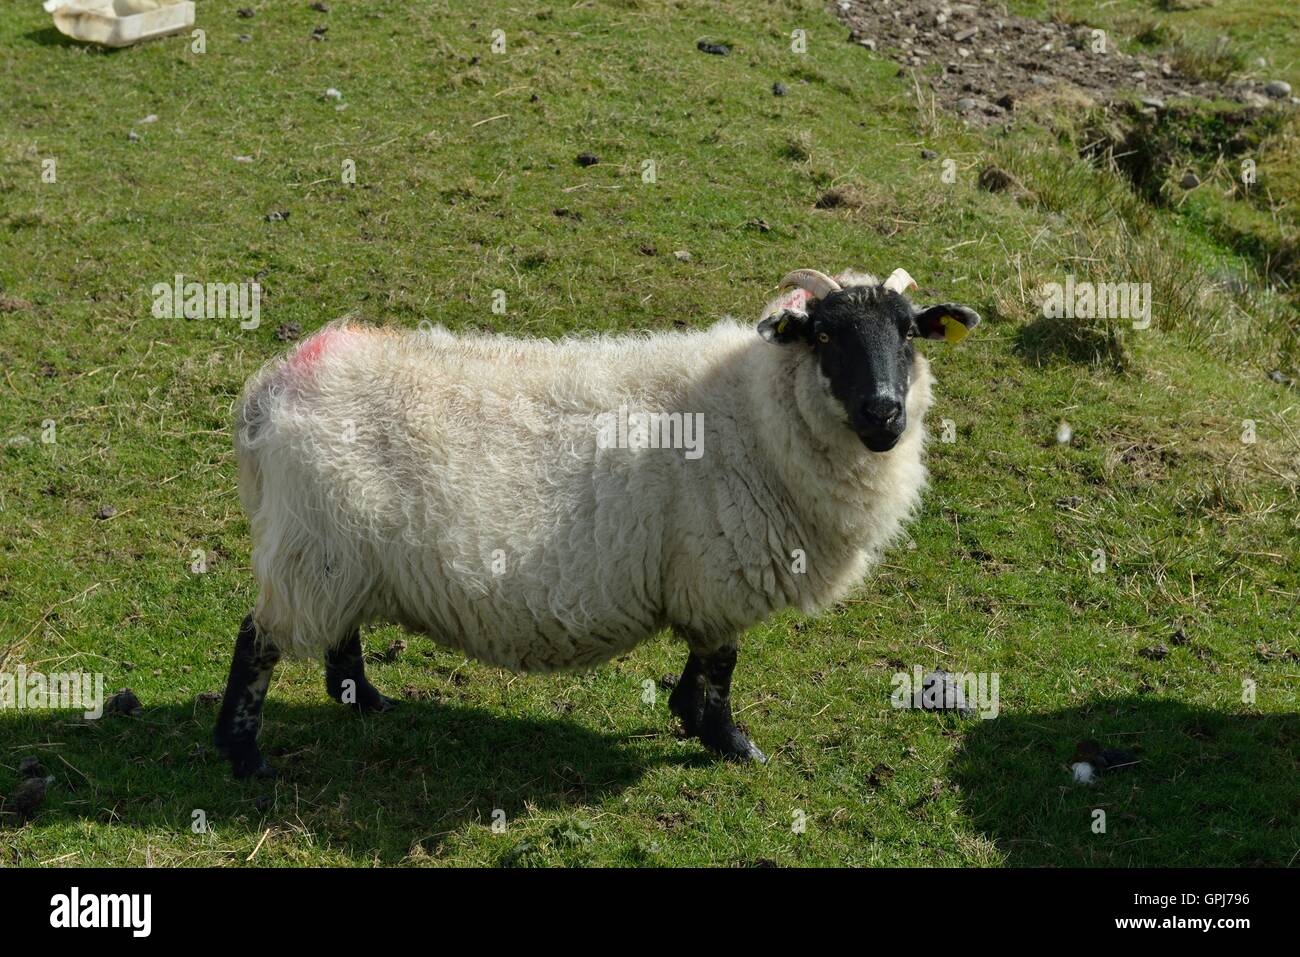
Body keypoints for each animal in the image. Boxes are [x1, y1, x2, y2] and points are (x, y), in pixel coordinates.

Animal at [214, 268, 980, 777]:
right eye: (823, 333)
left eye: (909, 333)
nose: (885, 412)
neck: (754, 410)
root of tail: (273, 386)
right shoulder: (717, 574)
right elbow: (723, 664)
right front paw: (729, 741)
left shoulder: (702, 583)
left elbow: (705, 662)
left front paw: (687, 714)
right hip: (313, 548)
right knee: (258, 641)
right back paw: (243, 752)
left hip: (339, 550)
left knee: (338, 633)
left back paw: (366, 701)